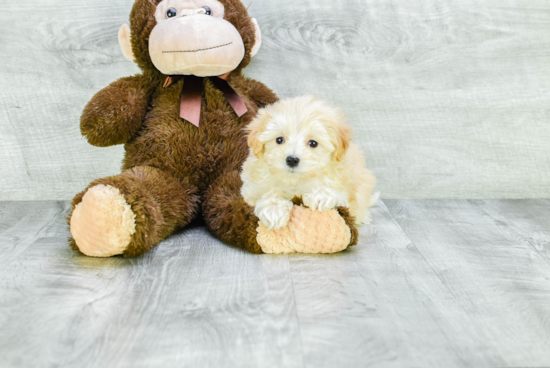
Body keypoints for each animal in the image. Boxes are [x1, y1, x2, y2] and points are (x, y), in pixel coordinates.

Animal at [243, 95, 380, 229]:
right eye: (279, 140)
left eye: (313, 143)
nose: (292, 160)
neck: (294, 181)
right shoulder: (250, 189)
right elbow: (264, 193)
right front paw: (274, 209)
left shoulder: (345, 190)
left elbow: (338, 194)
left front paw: (321, 195)